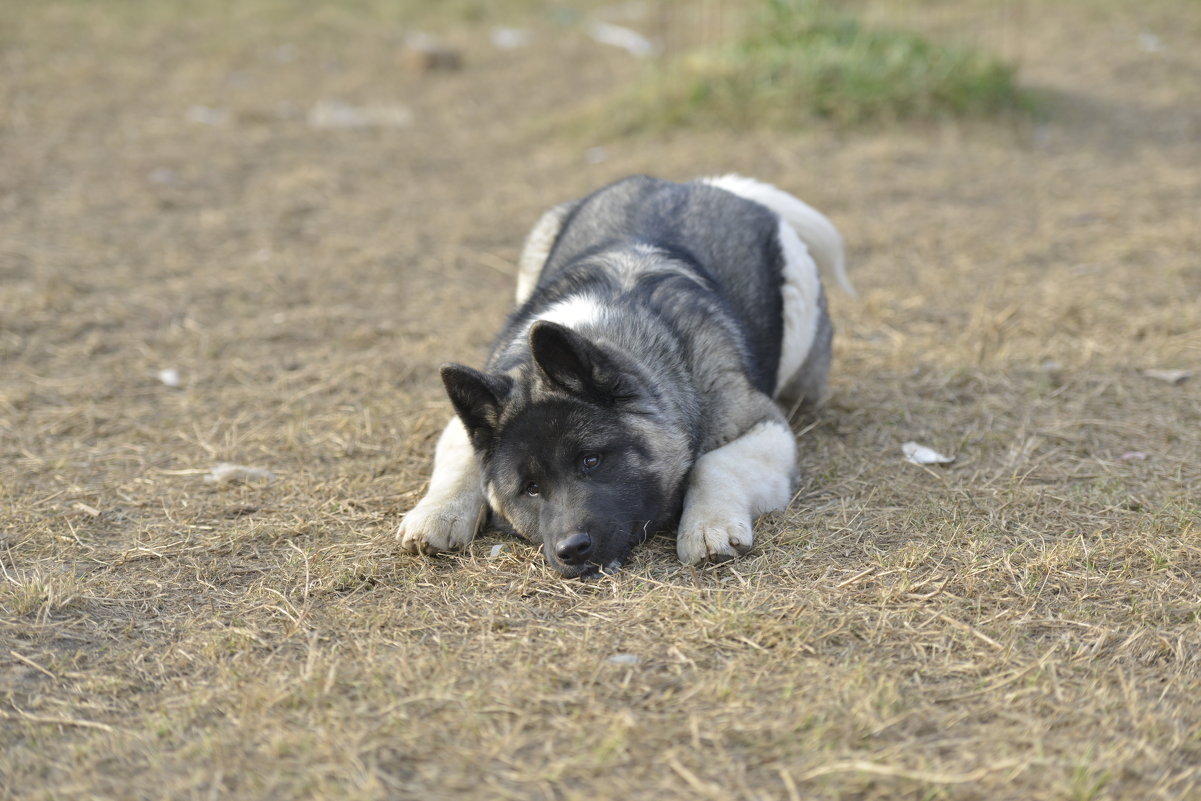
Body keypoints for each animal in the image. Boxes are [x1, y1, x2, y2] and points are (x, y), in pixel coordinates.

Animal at [398, 175, 850, 576]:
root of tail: (706, 184)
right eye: (530, 488)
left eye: (591, 461)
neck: (604, 322)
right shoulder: (466, 422)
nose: (572, 550)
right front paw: (437, 513)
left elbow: (713, 463)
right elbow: (460, 457)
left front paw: (708, 526)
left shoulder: (762, 426)